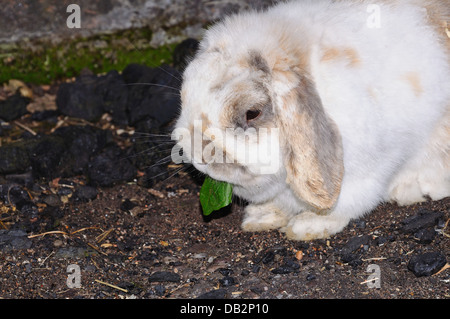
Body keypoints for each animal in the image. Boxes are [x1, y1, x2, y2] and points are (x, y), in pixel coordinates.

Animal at [173, 0, 450, 240]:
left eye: (252, 113)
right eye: (184, 96)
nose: (199, 156)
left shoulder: (365, 173)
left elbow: (343, 204)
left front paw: (307, 226)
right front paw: (260, 217)